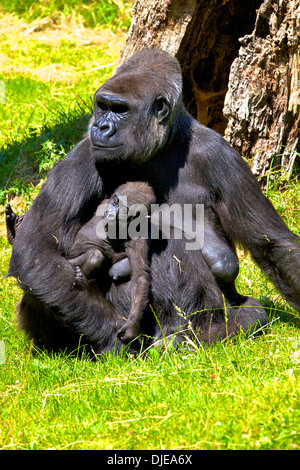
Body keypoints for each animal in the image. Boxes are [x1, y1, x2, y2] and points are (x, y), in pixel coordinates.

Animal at [67, 182, 156, 344]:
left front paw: (132, 325)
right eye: (115, 201)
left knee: (95, 256)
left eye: (123, 210)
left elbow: (140, 276)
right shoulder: (103, 203)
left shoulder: (138, 235)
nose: (111, 212)